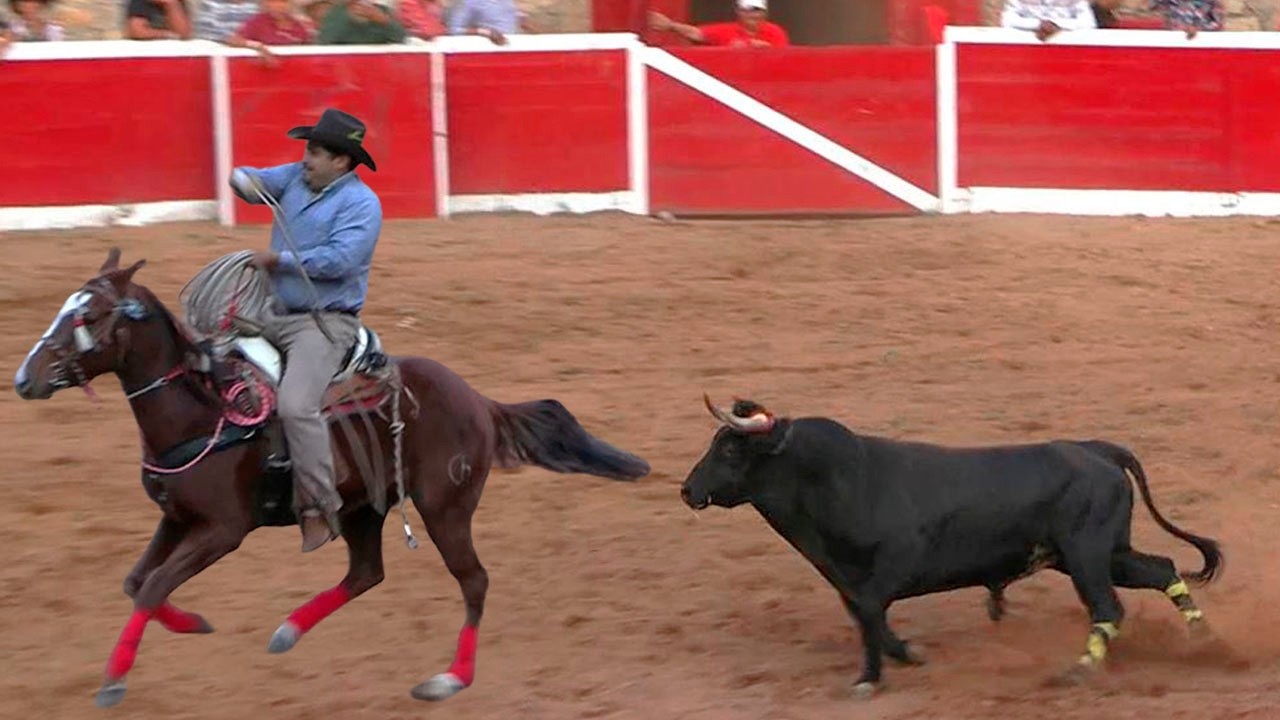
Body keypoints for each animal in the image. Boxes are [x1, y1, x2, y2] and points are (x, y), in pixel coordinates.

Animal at [13, 248, 651, 708]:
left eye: (87, 315)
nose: (24, 379)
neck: (203, 409)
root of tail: (478, 401)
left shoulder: (222, 530)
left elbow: (151, 586)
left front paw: (113, 682)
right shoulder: (176, 518)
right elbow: (138, 582)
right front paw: (192, 623)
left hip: (444, 509)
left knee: (473, 581)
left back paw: (448, 679)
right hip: (363, 506)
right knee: (366, 573)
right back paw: (289, 631)